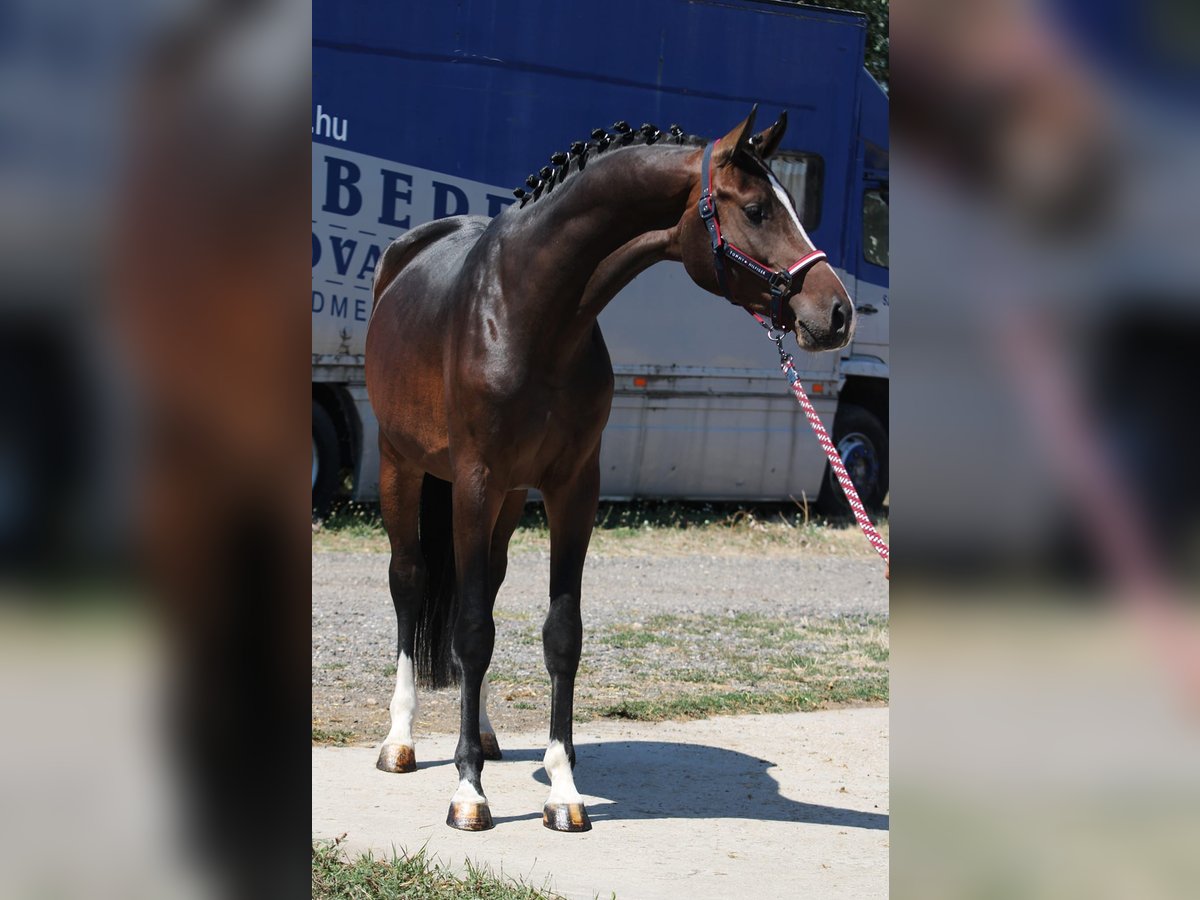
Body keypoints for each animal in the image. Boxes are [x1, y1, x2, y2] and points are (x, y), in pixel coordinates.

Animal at [364, 106, 854, 832]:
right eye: (758, 209)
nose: (838, 312)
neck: (530, 313)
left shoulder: (573, 487)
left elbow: (559, 633)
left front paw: (563, 791)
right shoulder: (475, 480)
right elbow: (471, 631)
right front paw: (469, 794)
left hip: (509, 497)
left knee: (485, 588)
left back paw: (484, 732)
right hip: (404, 467)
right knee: (412, 581)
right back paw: (400, 740)